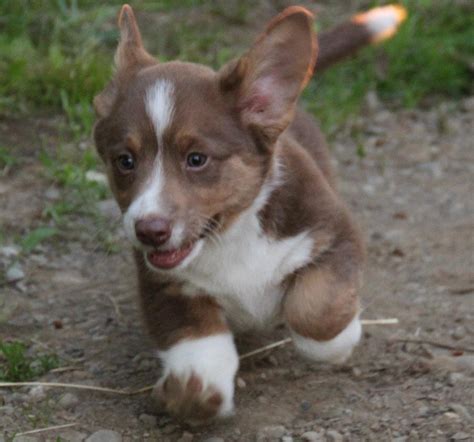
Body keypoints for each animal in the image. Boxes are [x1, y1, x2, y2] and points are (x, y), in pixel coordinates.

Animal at [93, 4, 408, 424]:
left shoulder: (336, 235)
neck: (230, 234)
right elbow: (195, 335)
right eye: (125, 161)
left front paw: (344, 340)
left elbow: (315, 308)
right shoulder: (165, 285)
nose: (149, 230)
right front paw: (193, 389)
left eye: (197, 159)